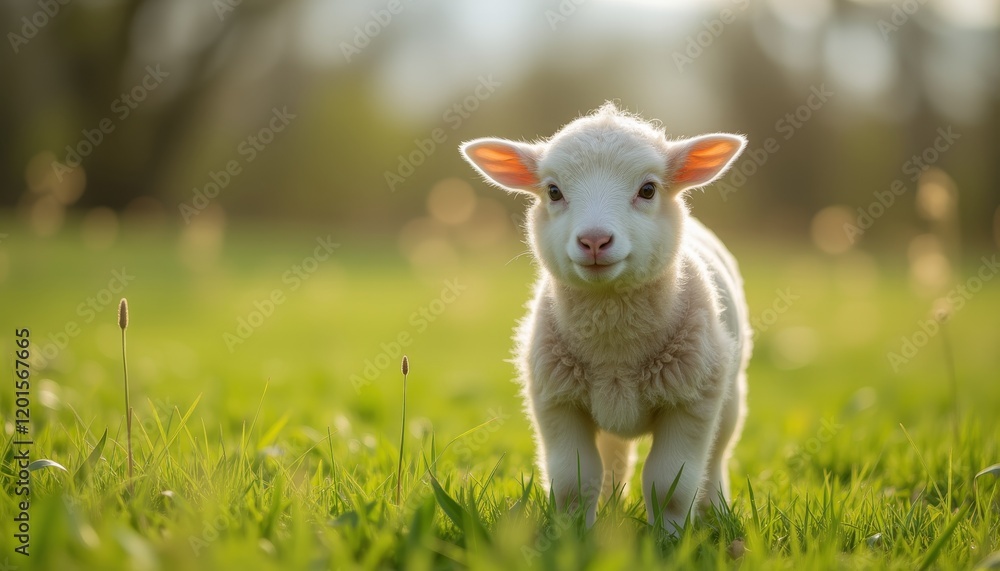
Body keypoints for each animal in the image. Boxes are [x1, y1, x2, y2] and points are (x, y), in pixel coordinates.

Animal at [459, 102, 752, 532]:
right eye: (553, 191)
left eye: (648, 189)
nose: (594, 240)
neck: (615, 347)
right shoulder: (556, 400)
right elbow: (574, 479)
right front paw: (573, 533)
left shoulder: (692, 400)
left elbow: (670, 483)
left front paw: (669, 537)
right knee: (614, 457)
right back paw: (613, 506)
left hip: (729, 396)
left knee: (717, 457)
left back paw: (715, 508)